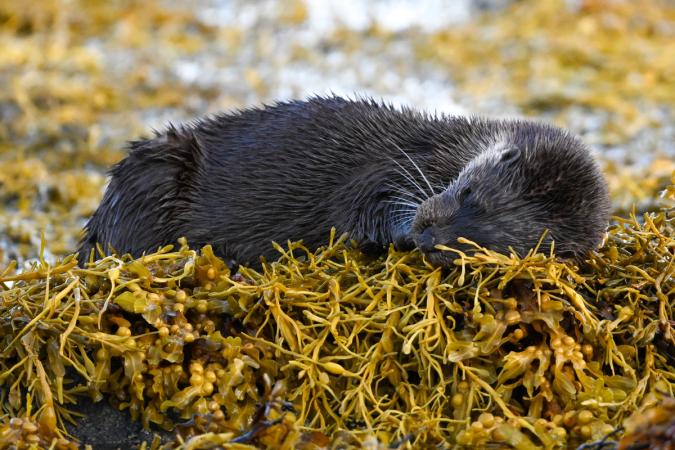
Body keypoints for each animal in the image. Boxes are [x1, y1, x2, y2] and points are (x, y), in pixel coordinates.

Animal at [78, 96, 612, 268]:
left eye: (487, 246)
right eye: (466, 192)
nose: (427, 234)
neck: (449, 153)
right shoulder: (388, 167)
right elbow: (360, 205)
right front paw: (400, 229)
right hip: (155, 172)